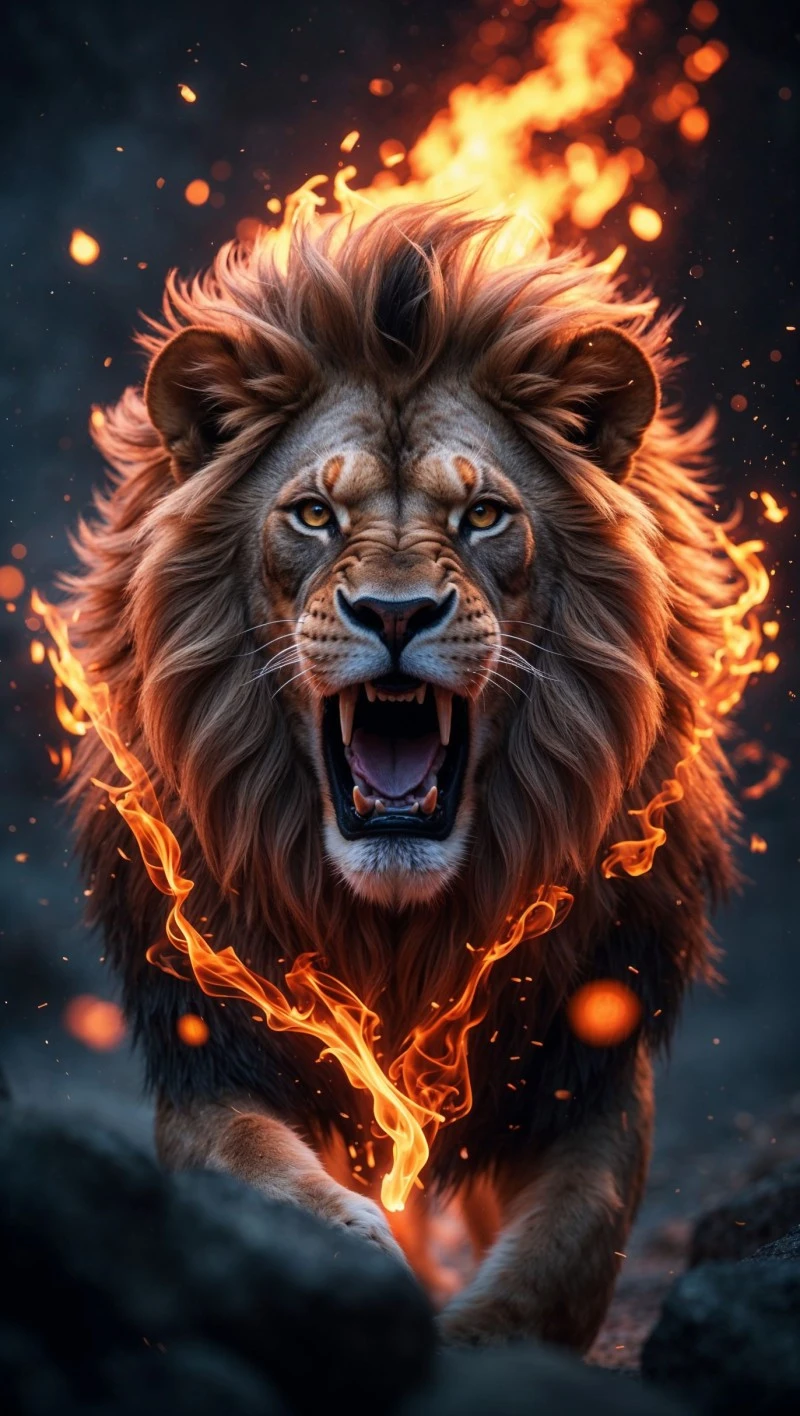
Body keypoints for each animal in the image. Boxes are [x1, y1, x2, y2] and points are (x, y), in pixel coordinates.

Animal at [64, 205, 737, 1350]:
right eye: (312, 516)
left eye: (482, 517)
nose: (392, 613)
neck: (397, 934)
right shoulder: (211, 1058)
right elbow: (287, 1202)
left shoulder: (587, 1068)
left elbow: (555, 1262)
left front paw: (476, 1341)